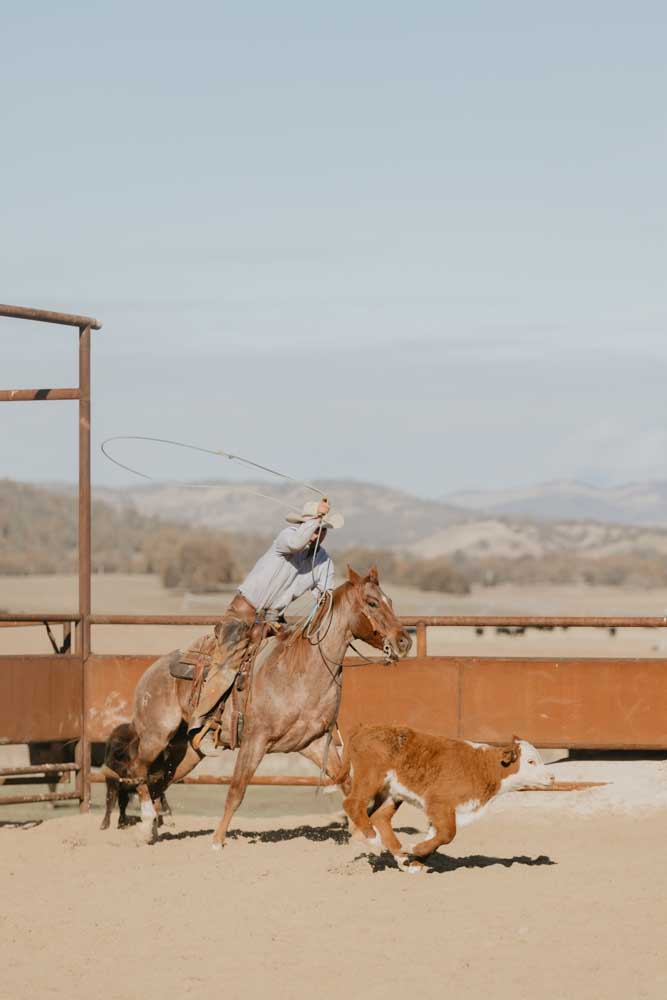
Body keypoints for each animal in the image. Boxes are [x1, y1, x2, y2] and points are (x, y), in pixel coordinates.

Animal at [129, 568, 412, 848]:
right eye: (372, 603)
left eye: (389, 601)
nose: (404, 642)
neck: (299, 670)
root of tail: (152, 671)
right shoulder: (255, 740)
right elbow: (237, 790)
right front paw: (218, 840)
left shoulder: (316, 741)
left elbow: (346, 782)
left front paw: (366, 836)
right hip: (156, 736)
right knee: (138, 769)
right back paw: (146, 820)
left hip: (188, 751)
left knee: (161, 780)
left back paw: (151, 829)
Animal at [340, 728, 552, 868]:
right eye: (531, 761)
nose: (551, 777)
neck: (483, 767)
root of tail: (364, 730)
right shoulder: (439, 802)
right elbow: (448, 834)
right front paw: (414, 850)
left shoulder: (445, 811)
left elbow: (437, 836)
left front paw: (416, 859)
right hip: (370, 778)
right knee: (353, 804)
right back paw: (373, 839)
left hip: (392, 793)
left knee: (380, 817)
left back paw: (401, 856)